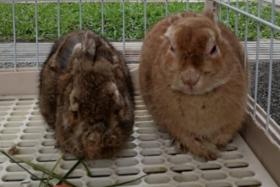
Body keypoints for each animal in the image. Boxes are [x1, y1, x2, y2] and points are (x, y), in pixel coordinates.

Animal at [140, 9, 249, 159]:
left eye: (213, 48)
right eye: (172, 48)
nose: (190, 79)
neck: (197, 97)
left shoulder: (234, 117)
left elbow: (224, 133)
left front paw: (215, 146)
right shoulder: (174, 124)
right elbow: (187, 138)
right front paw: (204, 151)